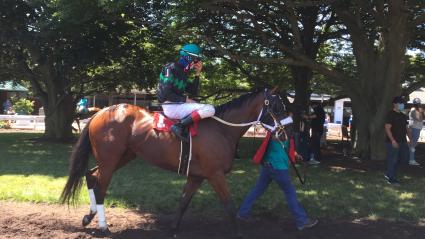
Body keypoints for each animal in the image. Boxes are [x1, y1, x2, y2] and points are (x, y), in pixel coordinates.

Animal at [59, 88, 288, 237]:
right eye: (277, 106)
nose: (285, 132)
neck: (222, 129)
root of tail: (101, 111)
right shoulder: (215, 174)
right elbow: (229, 204)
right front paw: (239, 232)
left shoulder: (196, 176)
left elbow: (183, 202)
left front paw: (173, 229)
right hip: (111, 159)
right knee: (100, 187)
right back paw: (103, 226)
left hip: (123, 156)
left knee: (91, 175)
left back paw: (89, 217)